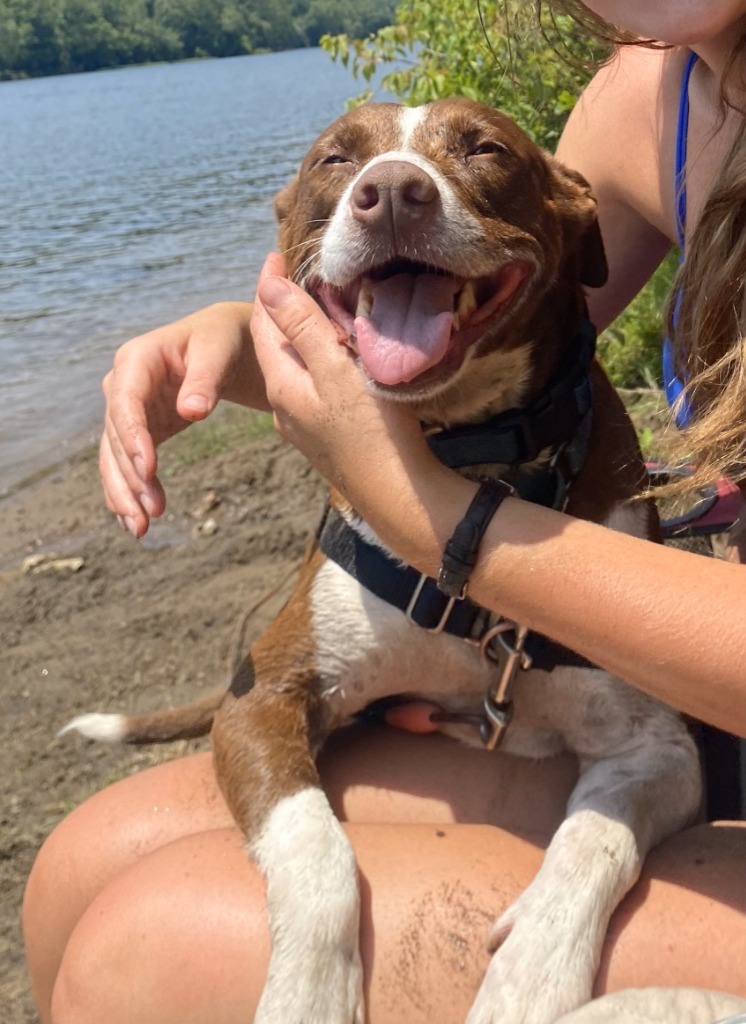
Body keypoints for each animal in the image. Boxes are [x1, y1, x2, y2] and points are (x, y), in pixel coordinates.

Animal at [61, 101, 699, 1024]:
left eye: (484, 147)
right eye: (333, 159)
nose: (392, 192)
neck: (469, 468)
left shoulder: (655, 751)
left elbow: (594, 844)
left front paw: (529, 981)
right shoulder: (263, 698)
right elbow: (315, 849)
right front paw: (309, 997)